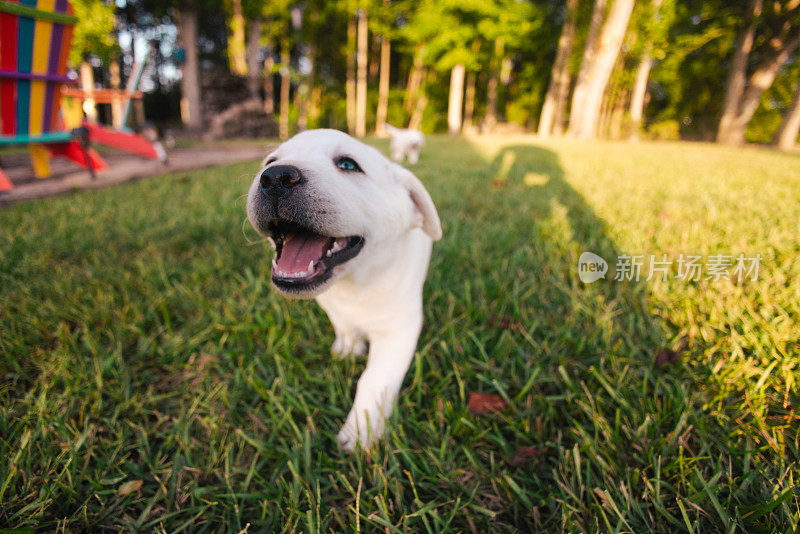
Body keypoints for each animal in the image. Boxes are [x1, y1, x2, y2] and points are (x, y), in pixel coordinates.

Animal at [245, 130, 444, 452]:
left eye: (348, 165)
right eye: (270, 161)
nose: (275, 176)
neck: (356, 281)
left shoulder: (399, 331)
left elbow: (374, 379)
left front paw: (362, 430)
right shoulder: (333, 306)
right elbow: (344, 326)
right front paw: (348, 349)